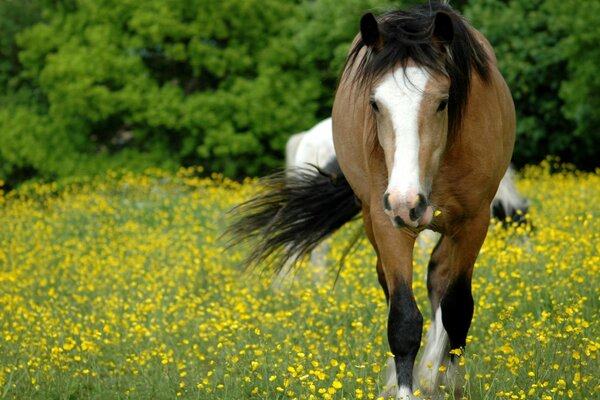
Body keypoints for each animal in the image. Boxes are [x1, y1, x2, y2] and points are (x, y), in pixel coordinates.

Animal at [229, 2, 516, 396]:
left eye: (443, 102)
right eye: (375, 104)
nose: (407, 202)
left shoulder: (473, 222)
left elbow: (457, 309)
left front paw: (449, 385)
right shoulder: (389, 222)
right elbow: (403, 321)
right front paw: (405, 388)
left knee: (439, 280)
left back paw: (433, 375)